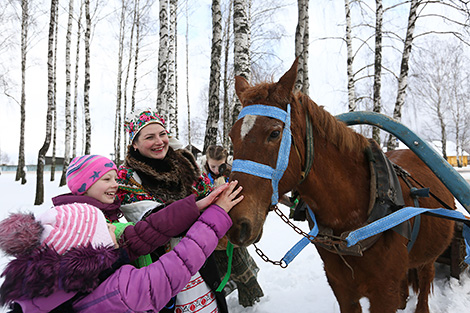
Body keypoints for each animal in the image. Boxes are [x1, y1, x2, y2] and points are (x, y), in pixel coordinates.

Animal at [228, 57, 456, 310]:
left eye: (274, 133)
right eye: (231, 136)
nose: (236, 224)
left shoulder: (384, 293)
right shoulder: (342, 290)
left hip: (429, 257)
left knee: (425, 281)